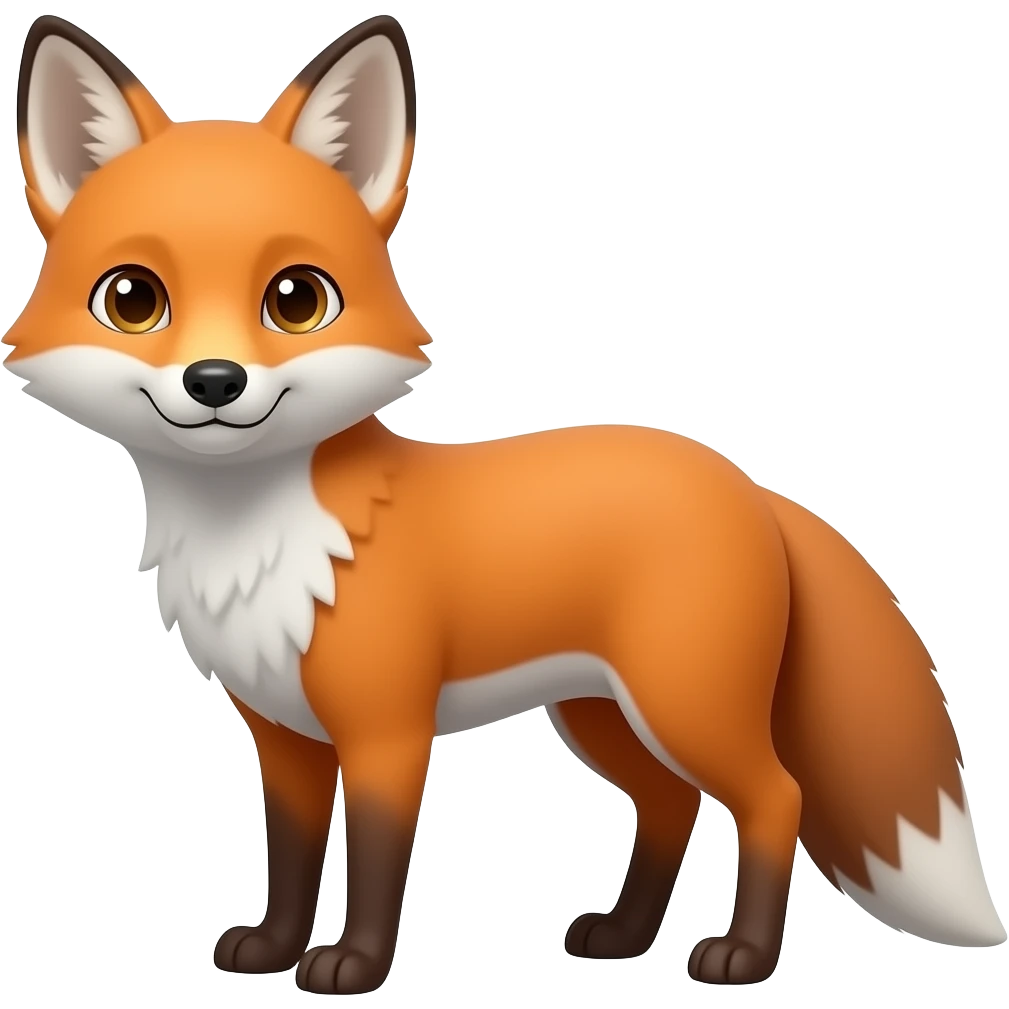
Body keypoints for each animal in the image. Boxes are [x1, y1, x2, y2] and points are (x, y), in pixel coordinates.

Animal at [5, 11, 1005, 996]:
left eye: (296, 299)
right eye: (133, 299)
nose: (215, 381)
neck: (259, 538)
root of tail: (749, 484)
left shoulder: (388, 730)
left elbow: (375, 861)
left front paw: (353, 966)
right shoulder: (285, 738)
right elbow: (288, 858)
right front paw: (274, 946)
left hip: (683, 704)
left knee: (775, 797)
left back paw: (742, 957)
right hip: (602, 714)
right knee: (670, 804)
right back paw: (622, 936)